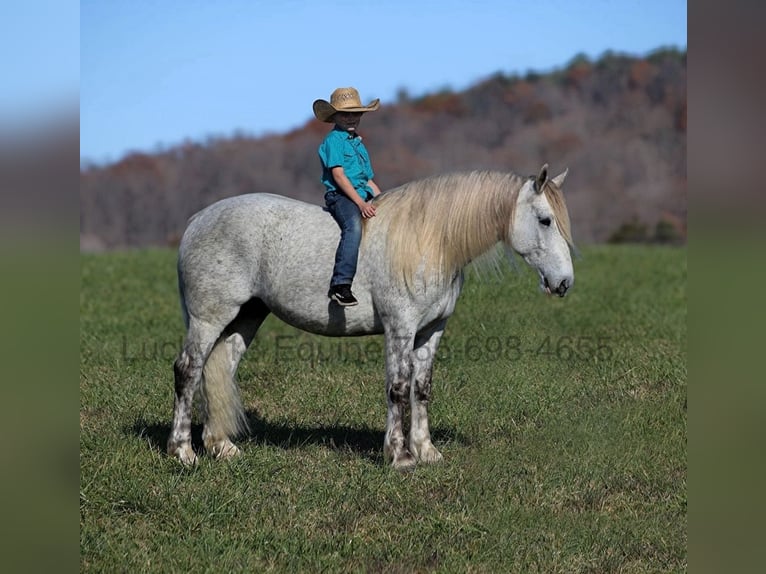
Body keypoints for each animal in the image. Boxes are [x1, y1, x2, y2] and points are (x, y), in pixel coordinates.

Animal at [168, 164, 574, 470]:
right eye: (545, 220)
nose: (564, 283)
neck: (430, 241)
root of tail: (198, 220)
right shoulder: (400, 328)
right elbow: (397, 388)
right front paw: (400, 456)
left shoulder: (431, 331)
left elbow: (421, 388)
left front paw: (427, 451)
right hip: (209, 318)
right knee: (188, 370)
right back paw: (183, 452)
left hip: (245, 317)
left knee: (219, 368)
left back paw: (221, 446)